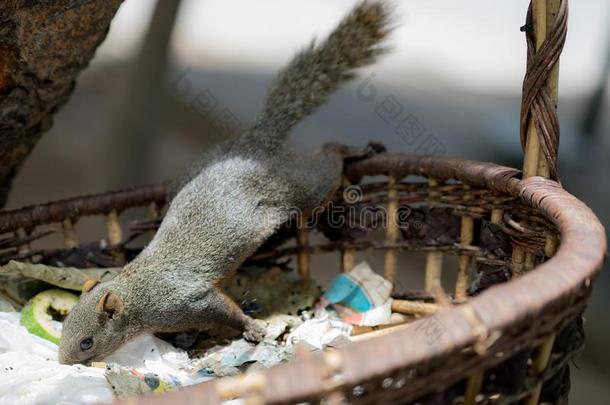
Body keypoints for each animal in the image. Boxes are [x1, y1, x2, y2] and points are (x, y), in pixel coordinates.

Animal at [58, 1, 390, 364]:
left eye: (87, 342)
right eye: (63, 328)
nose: (63, 362)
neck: (138, 293)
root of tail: (253, 143)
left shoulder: (187, 301)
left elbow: (225, 310)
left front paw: (251, 327)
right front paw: (188, 339)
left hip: (302, 187)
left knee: (327, 161)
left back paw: (349, 150)